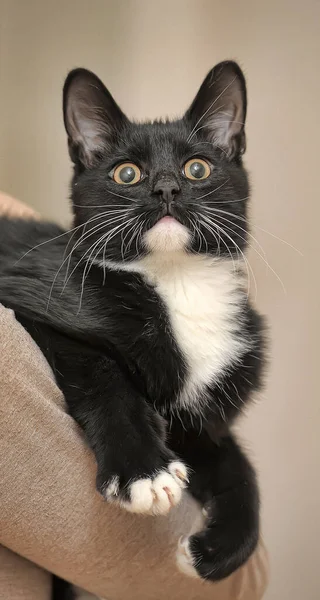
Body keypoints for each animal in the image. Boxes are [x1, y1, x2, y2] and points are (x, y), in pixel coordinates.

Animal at [0, 62, 264, 592]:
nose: (165, 189)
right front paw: (143, 471)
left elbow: (236, 464)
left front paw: (222, 549)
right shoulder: (27, 300)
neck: (176, 281)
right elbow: (103, 371)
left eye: (198, 168)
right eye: (127, 173)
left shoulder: (200, 421)